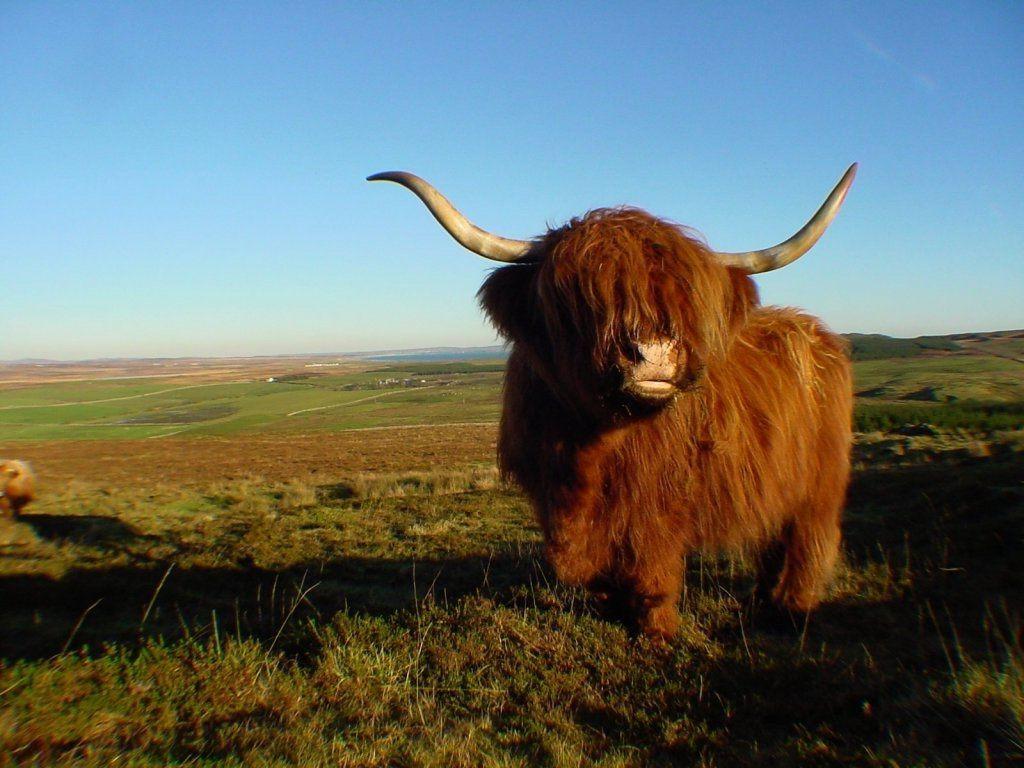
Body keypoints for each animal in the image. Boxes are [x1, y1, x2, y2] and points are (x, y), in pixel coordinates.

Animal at [369, 165, 856, 641]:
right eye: (581, 298)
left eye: (685, 300)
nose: (656, 353)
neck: (587, 446)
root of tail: (816, 332)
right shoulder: (553, 498)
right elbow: (597, 571)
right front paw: (613, 608)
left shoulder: (661, 502)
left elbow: (653, 568)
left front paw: (657, 631)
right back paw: (760, 600)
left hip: (820, 484)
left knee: (808, 541)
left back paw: (791, 609)